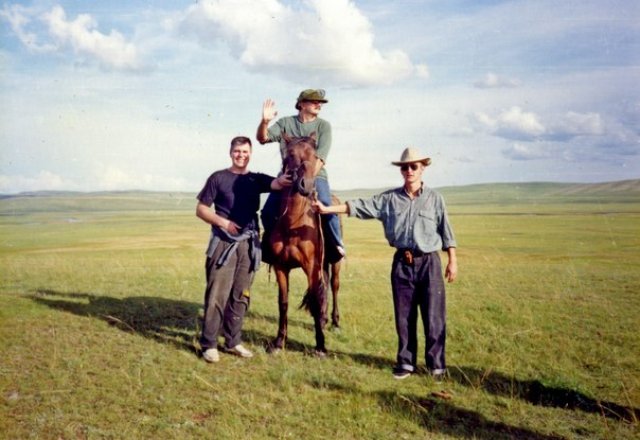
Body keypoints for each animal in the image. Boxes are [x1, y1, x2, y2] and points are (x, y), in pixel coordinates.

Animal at [266, 132, 342, 356]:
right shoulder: (281, 267)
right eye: (290, 154)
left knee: (334, 286)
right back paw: (324, 320)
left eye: (315, 155)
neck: (292, 224)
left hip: (335, 262)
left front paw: (320, 345)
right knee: (325, 287)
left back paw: (334, 322)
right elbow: (283, 302)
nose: (305, 185)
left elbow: (315, 302)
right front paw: (279, 341)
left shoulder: (310, 267)